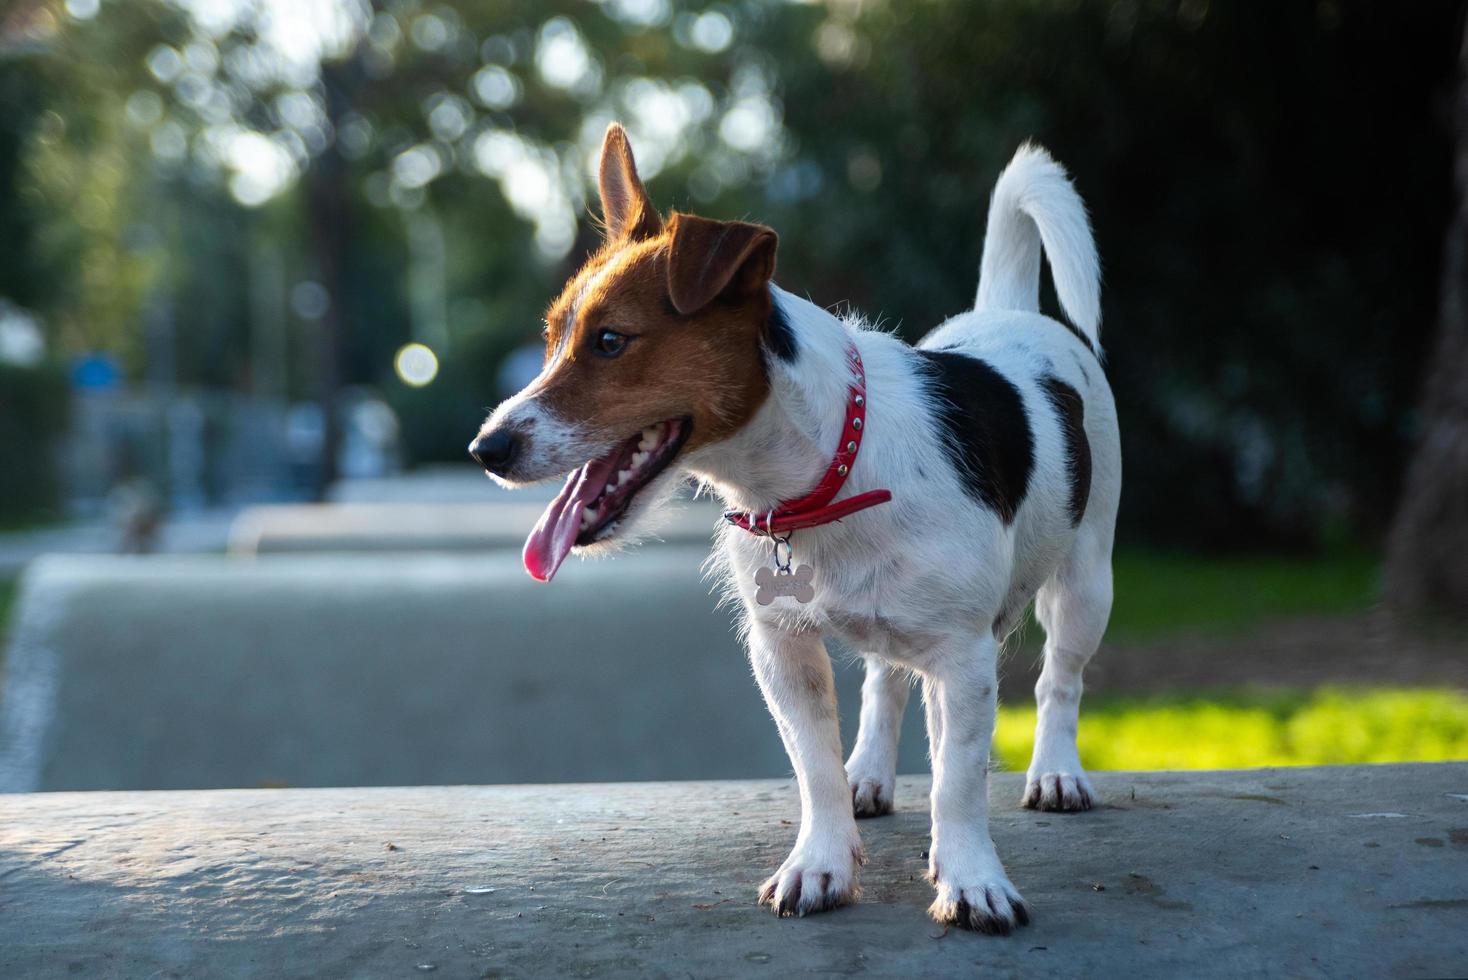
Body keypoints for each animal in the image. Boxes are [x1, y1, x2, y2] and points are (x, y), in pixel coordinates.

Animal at [475, 124, 1115, 933]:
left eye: (611, 341)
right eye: (554, 337)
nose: (486, 448)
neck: (823, 478)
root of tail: (1011, 315)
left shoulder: (966, 656)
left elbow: (959, 782)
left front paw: (971, 879)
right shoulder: (780, 647)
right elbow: (815, 768)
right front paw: (821, 863)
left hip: (1085, 584)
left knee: (1059, 680)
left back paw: (1057, 771)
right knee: (884, 683)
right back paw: (870, 773)